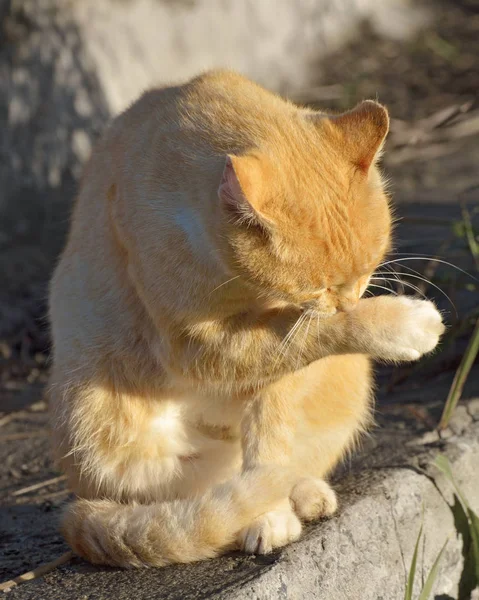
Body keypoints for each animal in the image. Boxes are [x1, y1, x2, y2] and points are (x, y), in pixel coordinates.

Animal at [48, 71, 446, 568]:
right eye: (318, 289)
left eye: (370, 266)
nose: (349, 300)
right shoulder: (198, 346)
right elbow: (317, 334)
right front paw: (402, 324)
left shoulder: (277, 367)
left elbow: (271, 429)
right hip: (97, 427)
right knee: (204, 499)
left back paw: (302, 493)